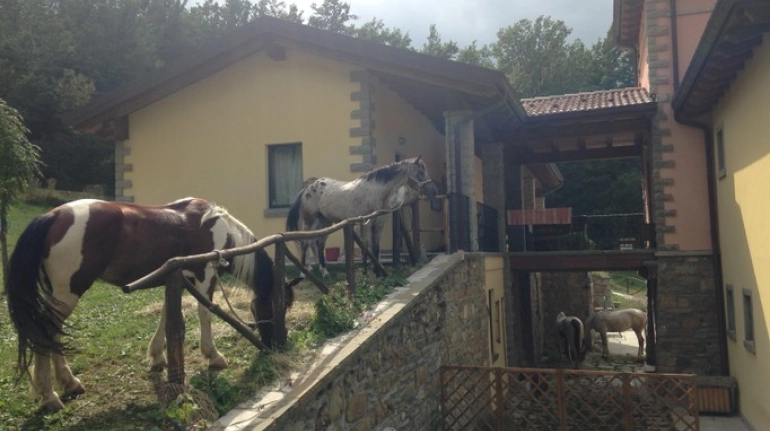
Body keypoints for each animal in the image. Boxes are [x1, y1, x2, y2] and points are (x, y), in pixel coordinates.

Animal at [284, 157, 436, 276]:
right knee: (305, 243)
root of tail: (307, 188)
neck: (376, 192)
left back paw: (324, 271)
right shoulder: (366, 224)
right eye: (420, 172)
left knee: (320, 244)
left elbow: (376, 248)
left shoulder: (378, 225)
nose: (433, 191)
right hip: (309, 221)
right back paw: (303, 273)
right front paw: (367, 272)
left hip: (325, 222)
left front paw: (378, 272)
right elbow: (366, 247)